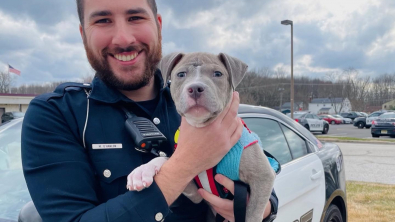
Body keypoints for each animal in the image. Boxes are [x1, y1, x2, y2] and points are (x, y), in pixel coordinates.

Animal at [128, 52, 276, 222]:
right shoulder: (195, 192)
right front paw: (141, 172)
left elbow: (252, 215)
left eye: (217, 74)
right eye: (181, 74)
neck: (200, 125)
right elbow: (166, 159)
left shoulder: (263, 177)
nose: (195, 88)